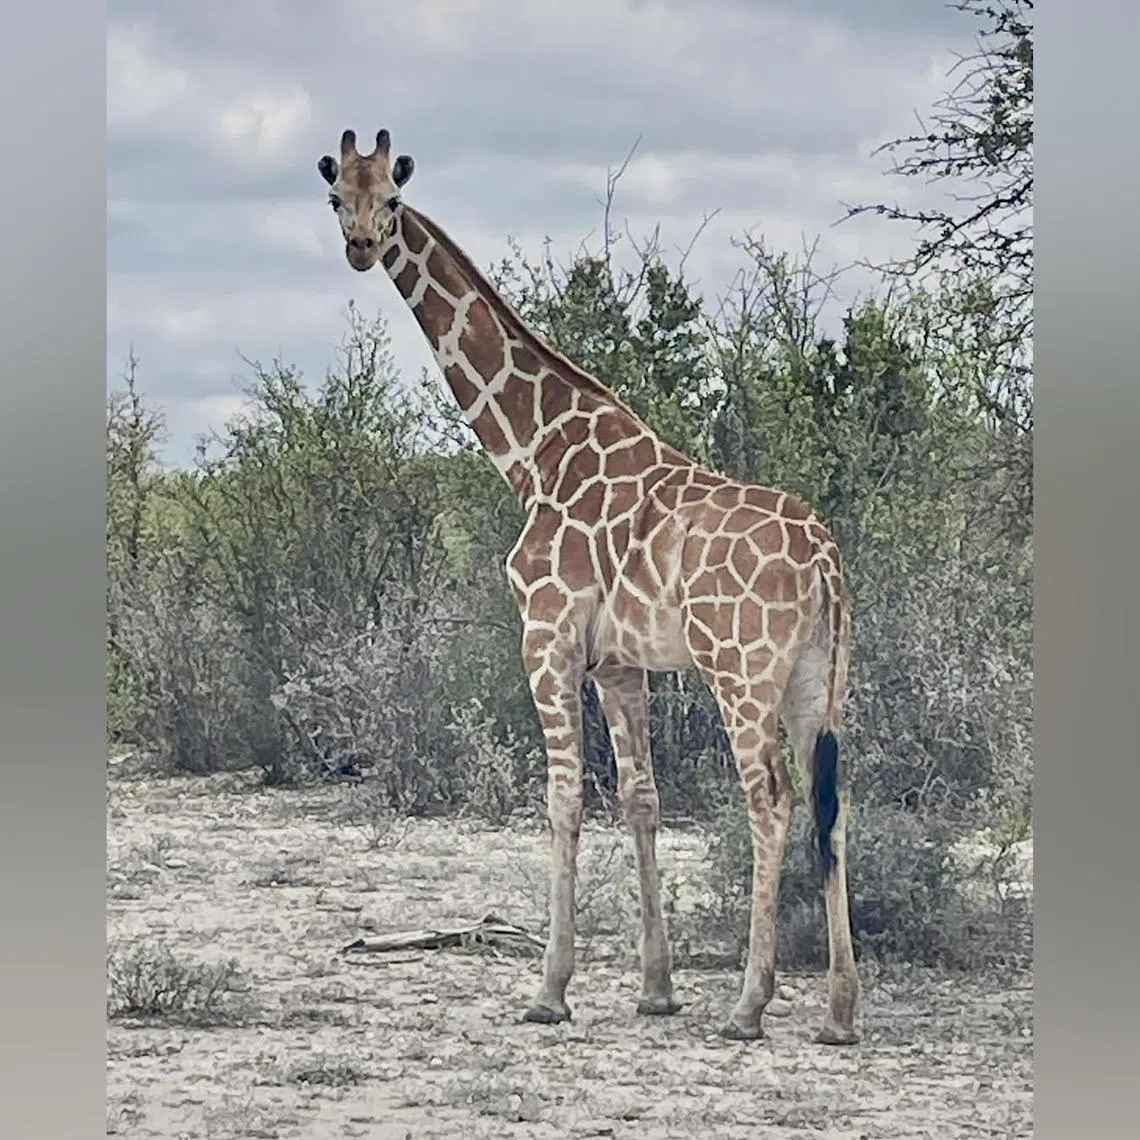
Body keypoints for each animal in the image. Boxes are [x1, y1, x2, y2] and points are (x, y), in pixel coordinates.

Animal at [317, 127, 860, 1045]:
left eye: (391, 197)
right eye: (335, 197)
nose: (359, 246)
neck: (533, 452)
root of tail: (824, 557)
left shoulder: (547, 636)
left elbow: (564, 798)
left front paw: (550, 989)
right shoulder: (619, 661)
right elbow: (641, 799)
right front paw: (656, 987)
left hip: (742, 670)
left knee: (771, 799)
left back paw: (750, 1005)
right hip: (820, 678)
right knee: (833, 801)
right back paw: (840, 1011)